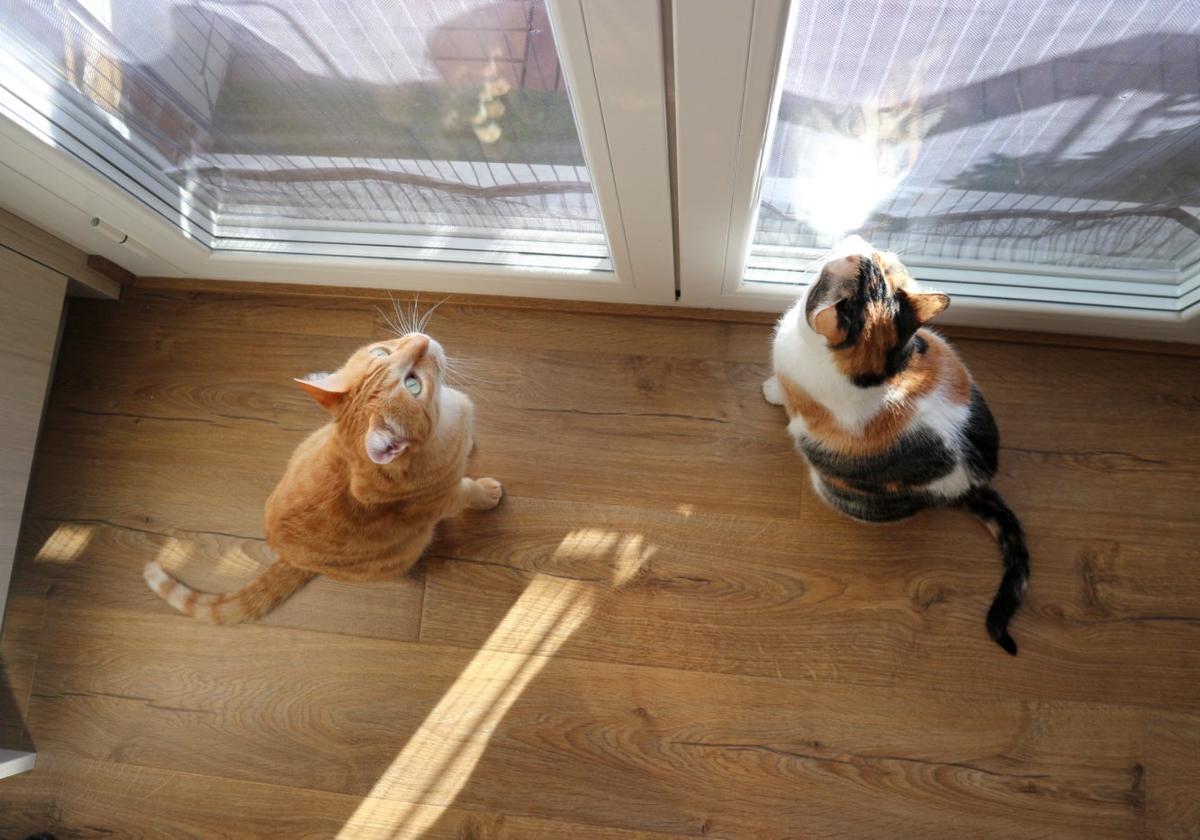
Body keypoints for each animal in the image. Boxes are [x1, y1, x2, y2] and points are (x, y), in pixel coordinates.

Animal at [145, 333, 501, 624]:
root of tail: (288, 557)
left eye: (383, 352)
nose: (422, 341)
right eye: (412, 384)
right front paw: (488, 493)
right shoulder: (445, 498)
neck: (448, 414)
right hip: (403, 554)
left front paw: (471, 446)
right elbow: (470, 490)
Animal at [763, 236, 1027, 657]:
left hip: (841, 492)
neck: (876, 372)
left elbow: (784, 395)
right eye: (879, 262)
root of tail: (971, 484)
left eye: (856, 261)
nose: (857, 239)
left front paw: (770, 391)